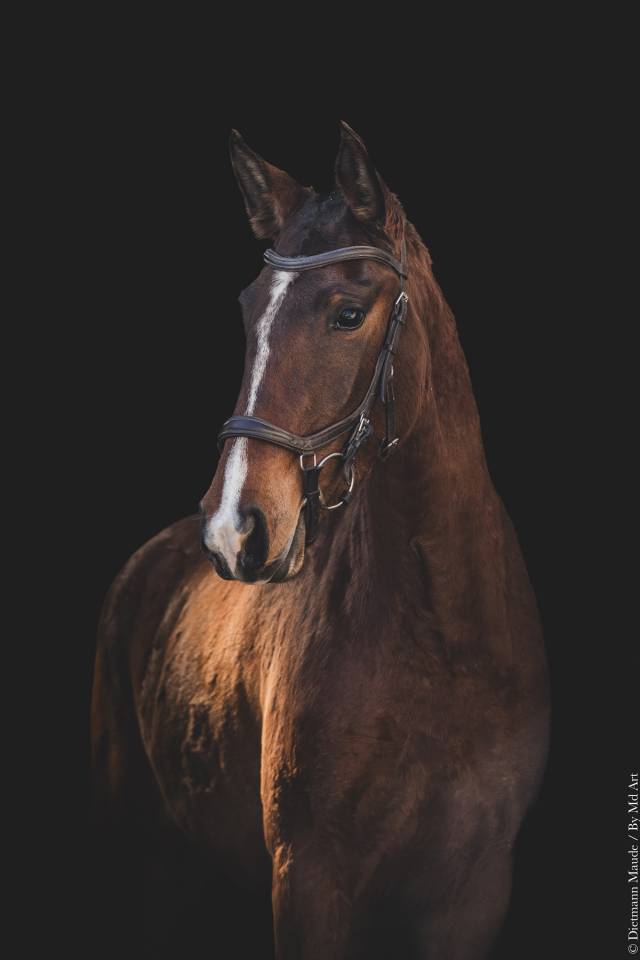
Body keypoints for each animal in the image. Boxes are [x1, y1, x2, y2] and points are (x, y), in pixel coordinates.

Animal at [91, 122, 550, 959]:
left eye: (347, 313)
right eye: (248, 310)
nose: (232, 527)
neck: (445, 640)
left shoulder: (473, 894)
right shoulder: (308, 882)